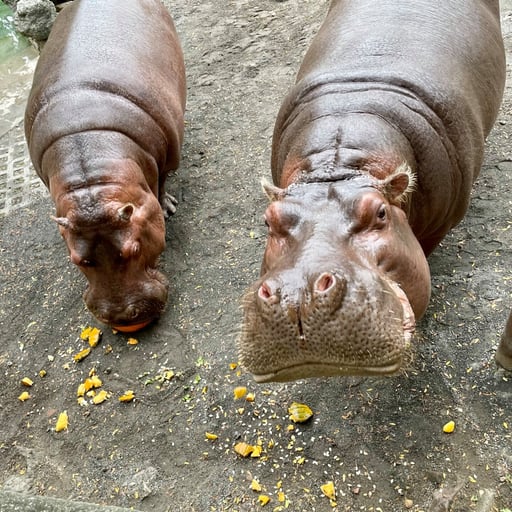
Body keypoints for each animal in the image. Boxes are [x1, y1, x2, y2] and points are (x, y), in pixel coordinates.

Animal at [24, 0, 187, 332]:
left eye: (134, 249)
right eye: (77, 259)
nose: (121, 316)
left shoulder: (165, 161)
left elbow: (162, 182)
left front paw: (167, 208)